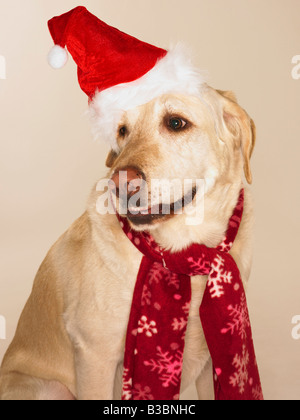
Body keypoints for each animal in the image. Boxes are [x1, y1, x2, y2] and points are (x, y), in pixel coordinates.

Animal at [0, 86, 255, 400]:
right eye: (122, 131)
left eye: (176, 122)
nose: (120, 184)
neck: (184, 254)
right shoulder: (95, 356)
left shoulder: (213, 362)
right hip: (50, 388)